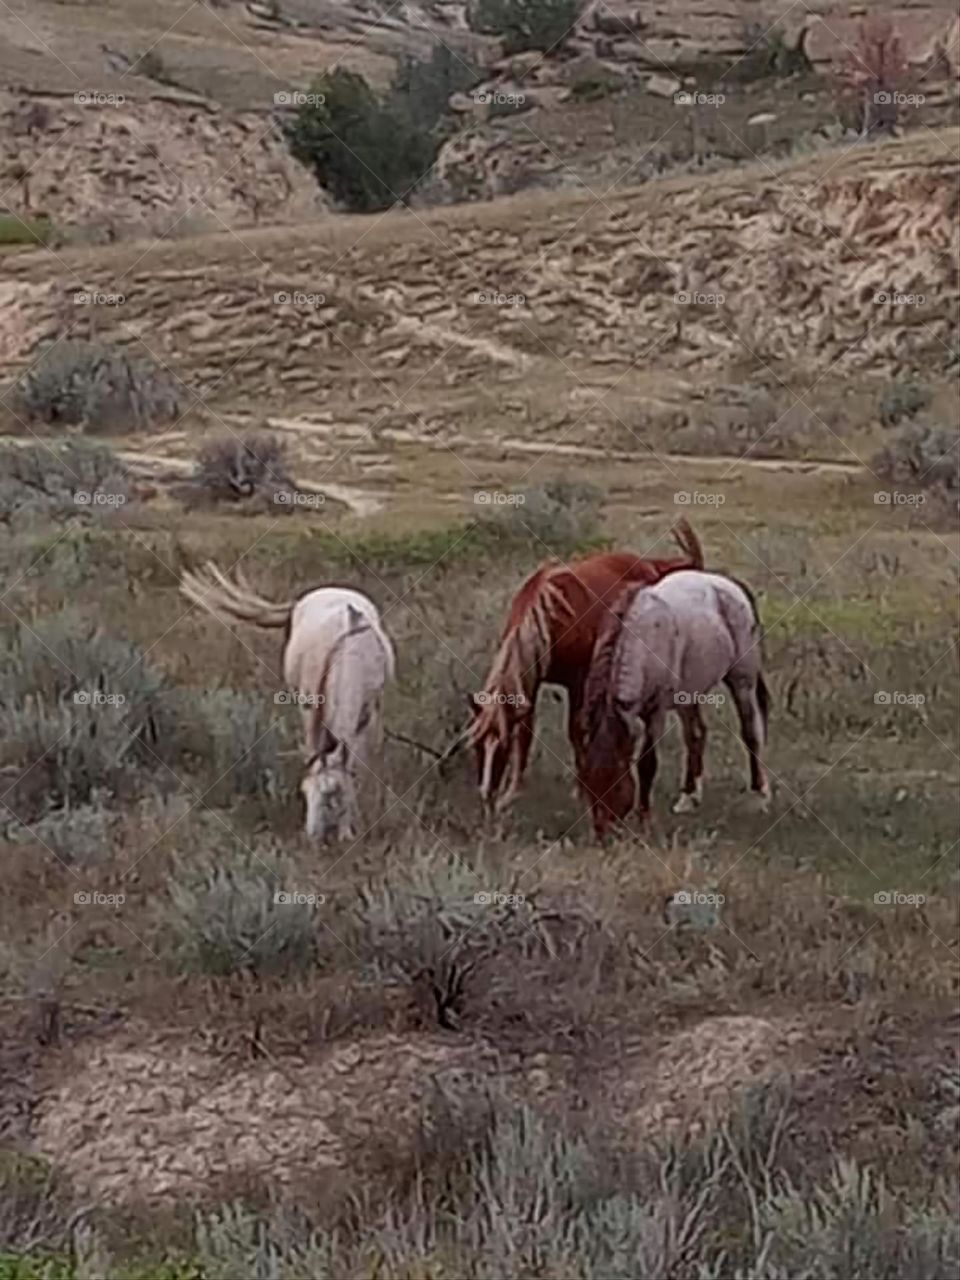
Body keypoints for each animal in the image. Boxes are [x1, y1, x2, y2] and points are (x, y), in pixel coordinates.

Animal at [180, 562, 395, 841]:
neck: (349, 654)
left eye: (331, 795)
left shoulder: (365, 715)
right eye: (304, 792)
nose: (312, 838)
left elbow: (353, 768)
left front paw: (347, 830)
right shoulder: (310, 707)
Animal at [466, 519, 704, 812]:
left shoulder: (578, 680)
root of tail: (652, 566)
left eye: (501, 746)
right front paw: (512, 793)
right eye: (477, 746)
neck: (552, 615)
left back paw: (689, 794)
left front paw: (580, 790)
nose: (486, 794)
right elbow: (526, 731)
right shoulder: (531, 682)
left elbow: (575, 730)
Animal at [577, 569, 770, 838]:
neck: (644, 638)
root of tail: (729, 585)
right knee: (696, 734)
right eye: (587, 783)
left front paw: (645, 820)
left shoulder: (655, 711)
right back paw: (688, 797)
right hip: (687, 694)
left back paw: (759, 795)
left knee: (751, 732)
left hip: (743, 681)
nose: (602, 836)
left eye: (616, 782)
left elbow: (647, 764)